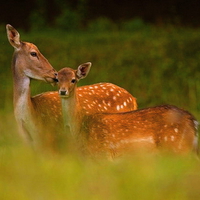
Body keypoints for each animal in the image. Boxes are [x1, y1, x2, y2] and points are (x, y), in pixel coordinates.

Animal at [57, 63, 198, 159]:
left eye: (73, 80)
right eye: (57, 79)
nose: (63, 91)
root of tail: (193, 121)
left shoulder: (103, 154)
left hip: (177, 148)